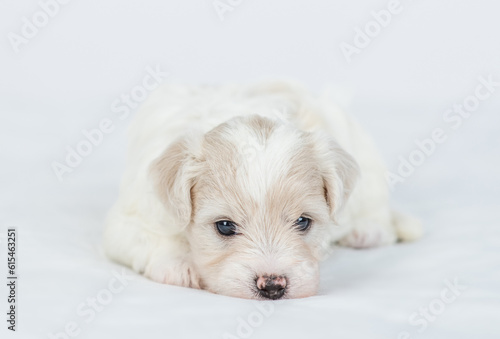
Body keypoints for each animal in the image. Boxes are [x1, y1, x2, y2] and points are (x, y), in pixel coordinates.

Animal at [104, 82, 422, 300]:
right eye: (224, 226)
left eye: (303, 222)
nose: (272, 286)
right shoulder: (127, 221)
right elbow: (152, 239)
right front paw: (178, 264)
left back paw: (367, 231)